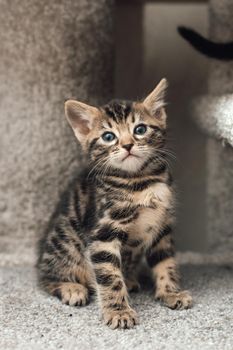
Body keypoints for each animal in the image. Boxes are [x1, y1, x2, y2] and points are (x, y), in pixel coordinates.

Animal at [37, 78, 192, 328]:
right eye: (108, 137)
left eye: (140, 129)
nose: (128, 145)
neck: (140, 181)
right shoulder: (103, 233)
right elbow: (109, 276)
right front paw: (118, 311)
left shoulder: (162, 227)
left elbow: (165, 261)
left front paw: (171, 292)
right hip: (64, 241)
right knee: (46, 277)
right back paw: (71, 288)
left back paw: (130, 280)